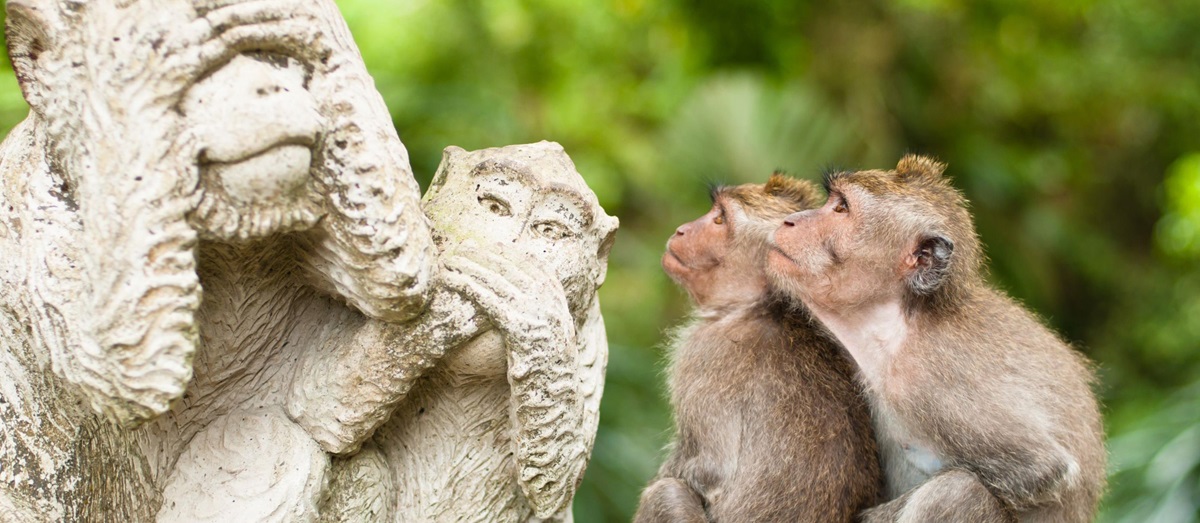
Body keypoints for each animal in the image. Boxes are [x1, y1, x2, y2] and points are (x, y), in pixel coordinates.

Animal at [635, 174, 881, 523]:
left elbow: (709, 468)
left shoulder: (702, 354)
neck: (759, 307)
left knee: (666, 493)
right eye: (714, 211)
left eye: (720, 219)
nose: (682, 229)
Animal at [767, 155, 1106, 522]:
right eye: (831, 201)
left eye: (841, 207)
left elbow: (1043, 469)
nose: (790, 221)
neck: (900, 325)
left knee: (957, 491)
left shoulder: (933, 381)